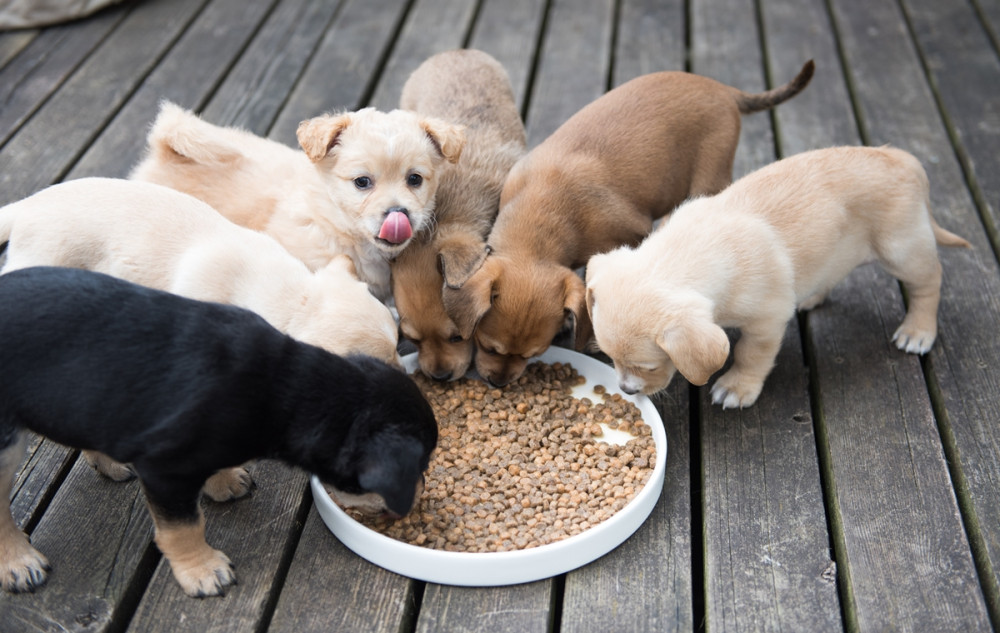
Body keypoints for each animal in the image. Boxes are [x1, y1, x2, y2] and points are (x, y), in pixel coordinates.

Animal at [0, 266, 438, 596]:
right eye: (418, 468)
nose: (418, 496)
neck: (283, 389)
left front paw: (222, 482)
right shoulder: (165, 471)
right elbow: (183, 527)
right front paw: (202, 570)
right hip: (6, 445)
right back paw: (18, 562)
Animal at [442, 60, 816, 386]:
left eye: (534, 354)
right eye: (488, 346)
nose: (498, 384)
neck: (544, 211)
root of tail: (724, 89)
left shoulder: (631, 236)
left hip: (709, 174)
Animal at [584, 145, 968, 408]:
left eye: (647, 367)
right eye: (609, 357)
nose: (625, 390)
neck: (686, 252)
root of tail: (903, 158)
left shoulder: (765, 323)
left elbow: (749, 355)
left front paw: (737, 387)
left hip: (902, 249)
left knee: (930, 282)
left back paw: (918, 331)